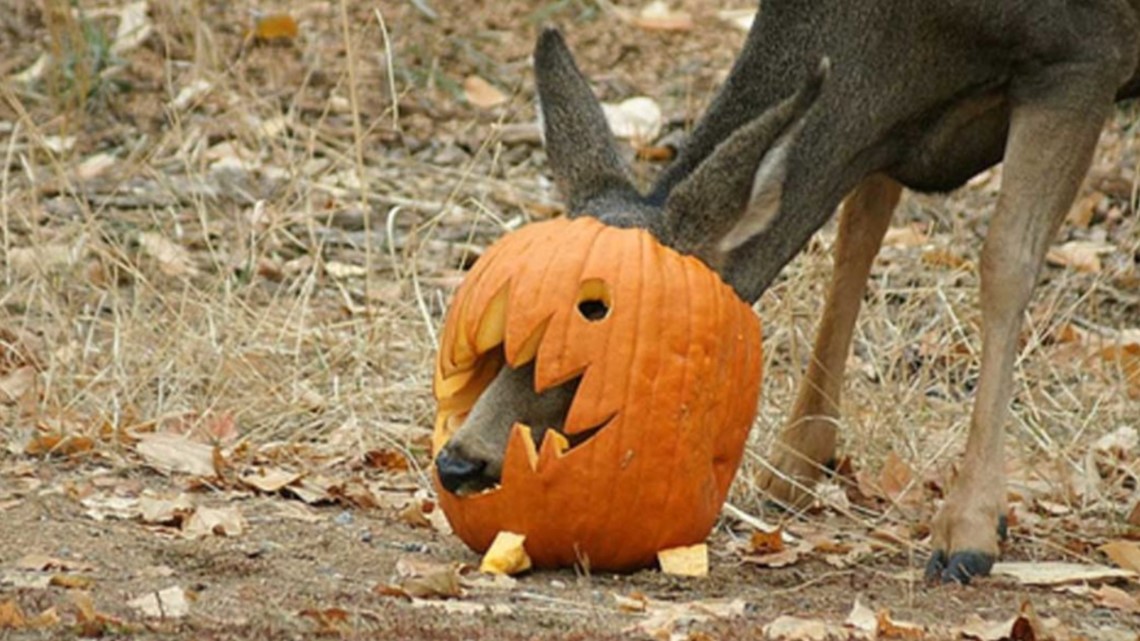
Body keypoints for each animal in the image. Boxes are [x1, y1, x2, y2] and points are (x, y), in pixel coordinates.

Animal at [433, 1, 1140, 583]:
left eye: (597, 311)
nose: (460, 462)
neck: (922, 46)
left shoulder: (1081, 57)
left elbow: (1005, 264)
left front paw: (968, 528)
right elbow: (856, 236)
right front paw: (795, 463)